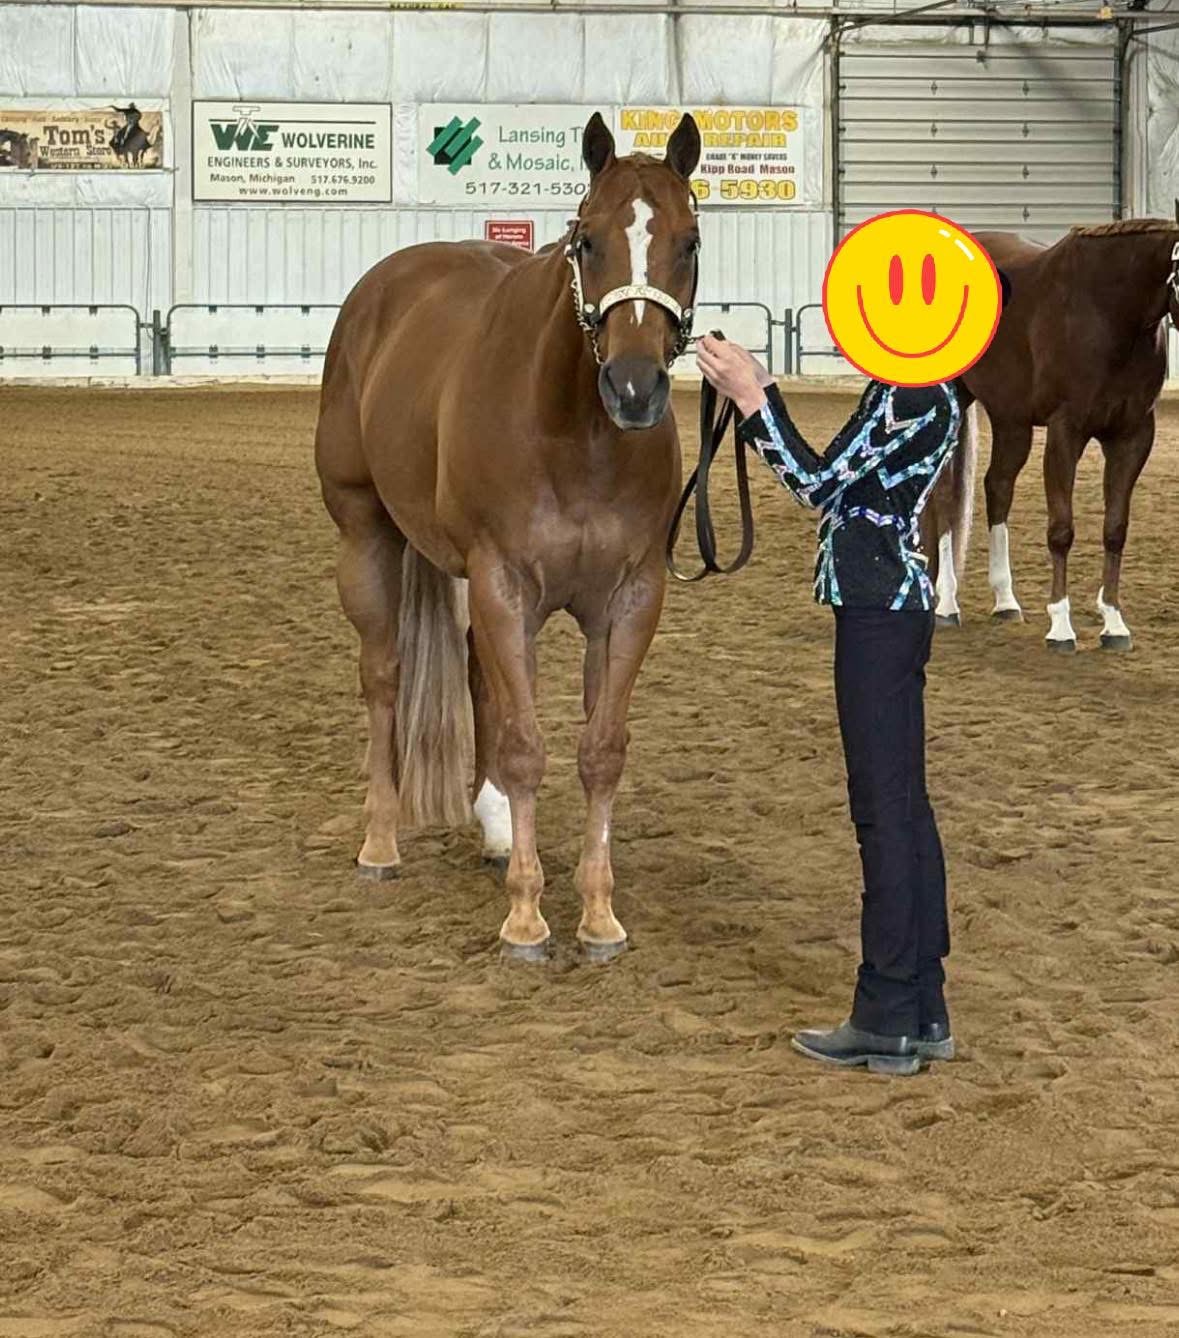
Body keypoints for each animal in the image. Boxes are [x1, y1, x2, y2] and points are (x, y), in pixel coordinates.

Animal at [314, 112, 702, 960]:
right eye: (587, 240)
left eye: (688, 241)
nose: (633, 388)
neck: (576, 437)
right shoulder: (503, 583)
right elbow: (526, 746)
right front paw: (526, 918)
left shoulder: (629, 600)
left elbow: (600, 751)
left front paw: (597, 914)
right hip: (367, 538)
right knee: (384, 677)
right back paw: (380, 842)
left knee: (474, 673)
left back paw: (491, 829)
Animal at [931, 214, 1179, 651]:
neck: (1110, 311)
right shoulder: (1067, 430)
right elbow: (1061, 529)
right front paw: (1061, 626)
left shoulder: (1133, 436)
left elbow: (1115, 529)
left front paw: (1114, 623)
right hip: (955, 402)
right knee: (946, 495)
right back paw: (947, 604)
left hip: (1012, 420)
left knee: (998, 487)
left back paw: (1006, 602)